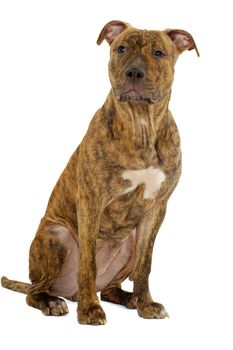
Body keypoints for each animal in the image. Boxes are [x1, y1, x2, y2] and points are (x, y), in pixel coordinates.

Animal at [1, 19, 198, 326]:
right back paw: (53, 302)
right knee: (35, 291)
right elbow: (88, 263)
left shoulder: (157, 208)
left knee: (110, 288)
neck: (140, 125)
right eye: (121, 49)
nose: (134, 72)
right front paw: (89, 310)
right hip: (57, 236)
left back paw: (130, 298)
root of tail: (66, 292)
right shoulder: (92, 201)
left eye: (158, 53)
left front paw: (147, 304)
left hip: (129, 242)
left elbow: (146, 264)